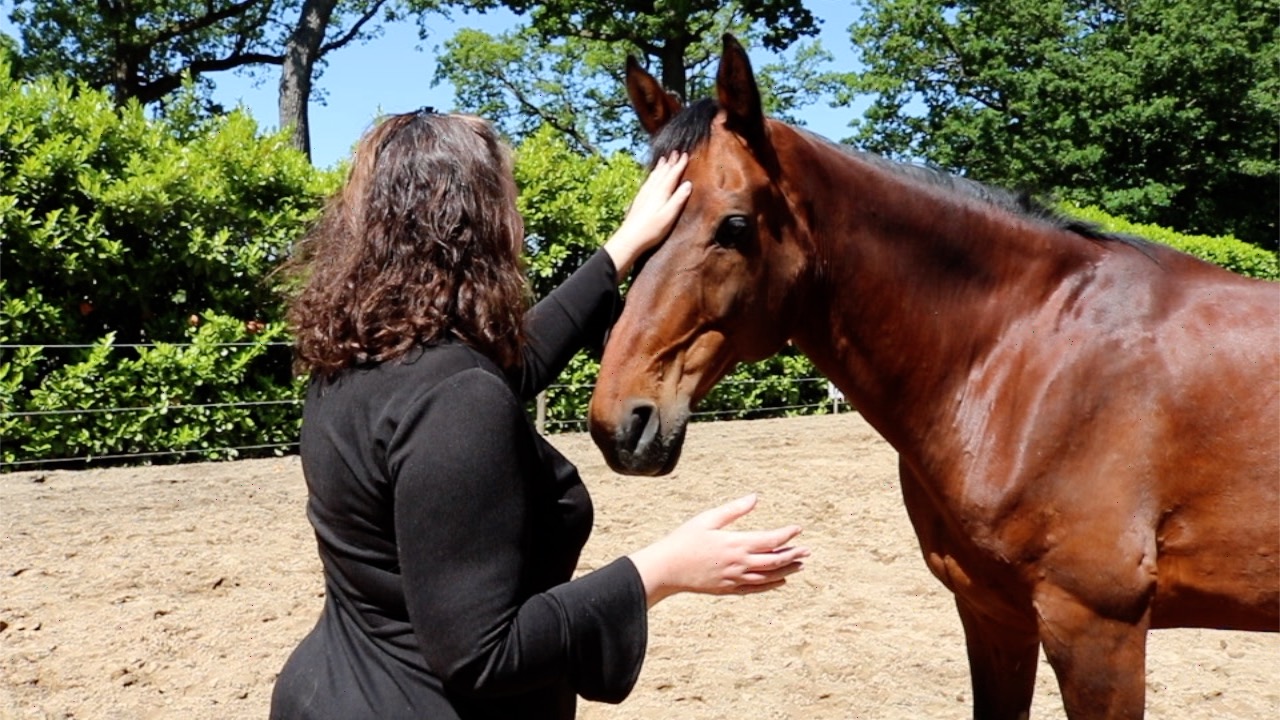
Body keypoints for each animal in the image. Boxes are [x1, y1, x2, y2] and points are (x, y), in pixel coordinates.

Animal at [588, 35, 1280, 717]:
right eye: (643, 223)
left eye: (734, 226)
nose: (619, 422)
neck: (1025, 356)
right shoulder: (993, 616)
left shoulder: (1097, 633)